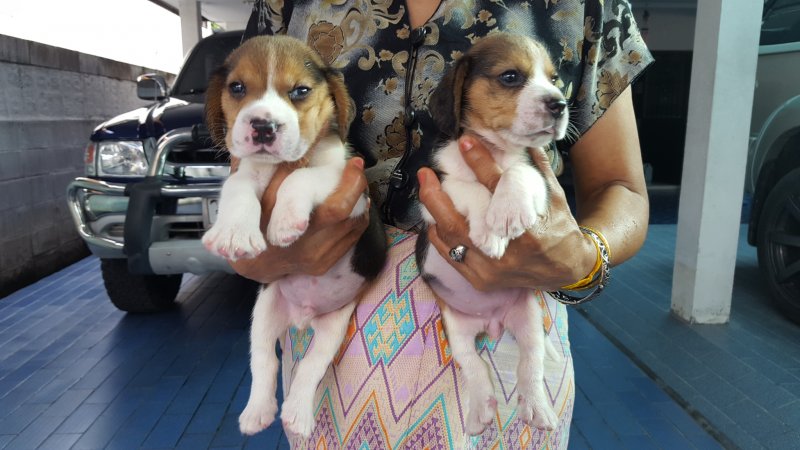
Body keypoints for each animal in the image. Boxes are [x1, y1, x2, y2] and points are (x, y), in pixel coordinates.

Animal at [203, 35, 387, 438]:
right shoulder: (248, 171)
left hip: (334, 326)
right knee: (264, 362)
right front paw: (234, 232)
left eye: (300, 91)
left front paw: (285, 222)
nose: (263, 127)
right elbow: (238, 188)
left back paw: (298, 415)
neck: (281, 163)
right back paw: (257, 413)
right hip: (264, 311)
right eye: (237, 88)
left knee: (310, 367)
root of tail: (303, 318)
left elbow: (300, 177)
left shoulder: (349, 189)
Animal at [416, 33, 568, 435]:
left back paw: (538, 408)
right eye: (511, 76)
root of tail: (493, 321)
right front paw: (489, 226)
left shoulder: (539, 176)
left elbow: (519, 172)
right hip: (454, 326)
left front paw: (507, 208)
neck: (495, 150)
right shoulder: (433, 195)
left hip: (528, 318)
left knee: (530, 362)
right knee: (474, 364)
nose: (560, 104)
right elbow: (471, 189)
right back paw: (480, 410)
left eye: (554, 78)